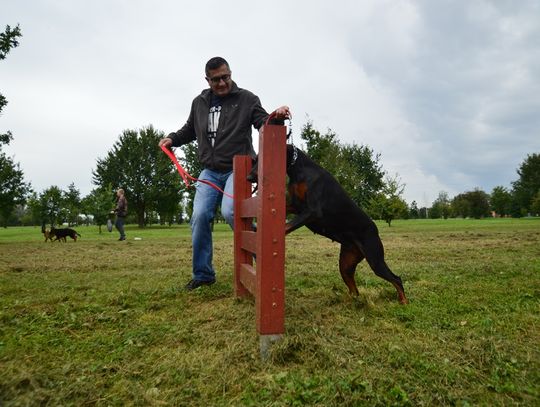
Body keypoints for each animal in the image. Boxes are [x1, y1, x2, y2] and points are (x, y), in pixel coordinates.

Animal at [247, 145, 408, 304]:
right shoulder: (295, 205)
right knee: (354, 289)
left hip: (375, 259)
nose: (249, 178)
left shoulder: (312, 210)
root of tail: (375, 229)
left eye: (260, 161)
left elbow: (287, 225)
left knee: (396, 279)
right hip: (346, 264)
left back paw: (404, 302)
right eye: (254, 160)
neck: (300, 170)